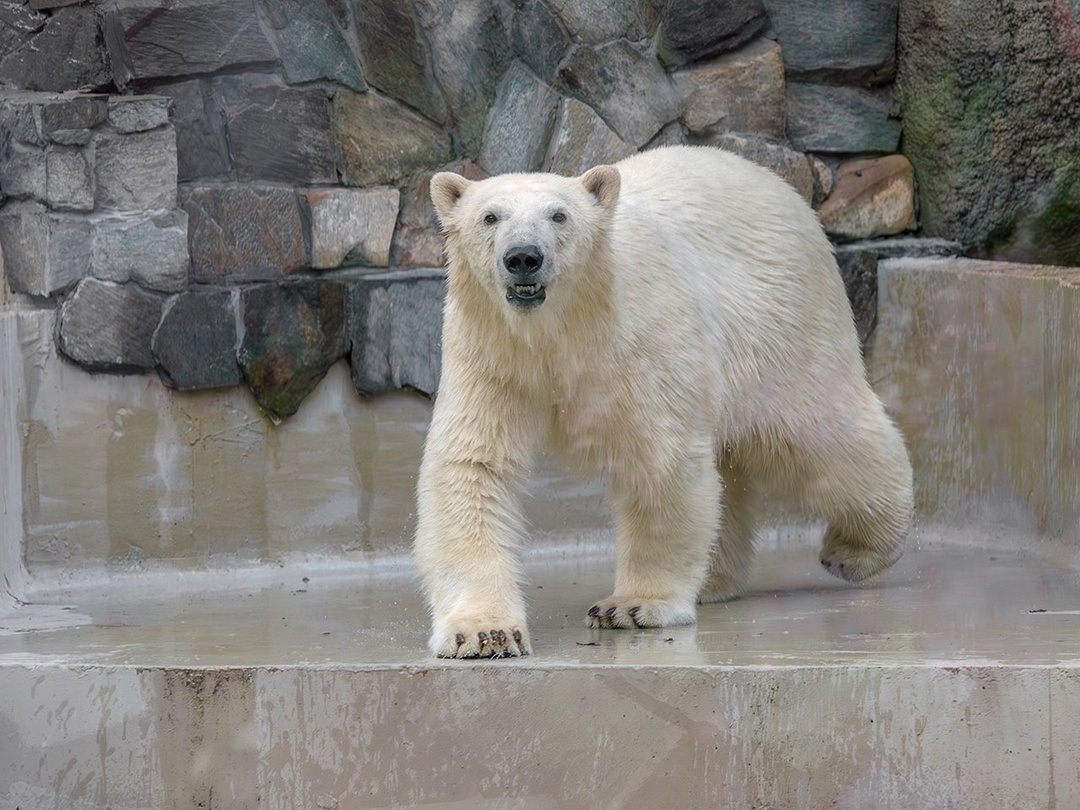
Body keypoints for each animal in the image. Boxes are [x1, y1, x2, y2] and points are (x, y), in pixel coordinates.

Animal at [412, 144, 911, 660]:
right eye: (490, 216)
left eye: (559, 215)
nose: (524, 257)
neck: (559, 330)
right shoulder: (491, 355)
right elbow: (472, 468)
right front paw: (483, 632)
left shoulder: (638, 344)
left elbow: (660, 462)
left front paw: (632, 606)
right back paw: (715, 579)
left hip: (782, 322)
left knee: (817, 435)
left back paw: (857, 550)